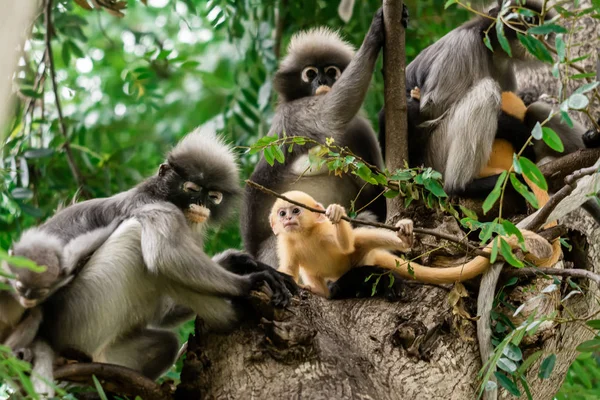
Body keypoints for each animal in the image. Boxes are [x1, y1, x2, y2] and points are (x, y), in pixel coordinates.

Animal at [29, 130, 294, 384]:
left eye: (213, 196)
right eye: (192, 189)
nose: (201, 204)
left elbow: (163, 314)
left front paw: (237, 262)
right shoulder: (153, 206)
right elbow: (164, 256)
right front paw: (251, 280)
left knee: (165, 343)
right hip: (79, 317)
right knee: (140, 241)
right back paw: (235, 315)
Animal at [243, 7, 408, 268]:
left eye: (331, 71)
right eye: (310, 73)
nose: (322, 81)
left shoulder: (360, 128)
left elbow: (372, 189)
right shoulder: (295, 113)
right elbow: (334, 110)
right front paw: (375, 32)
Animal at [270, 191, 556, 296]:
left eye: (295, 211)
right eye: (282, 213)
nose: (287, 220)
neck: (305, 235)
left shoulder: (324, 231)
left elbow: (347, 244)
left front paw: (337, 212)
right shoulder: (286, 245)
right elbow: (289, 269)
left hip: (361, 259)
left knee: (361, 239)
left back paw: (405, 238)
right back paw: (320, 291)